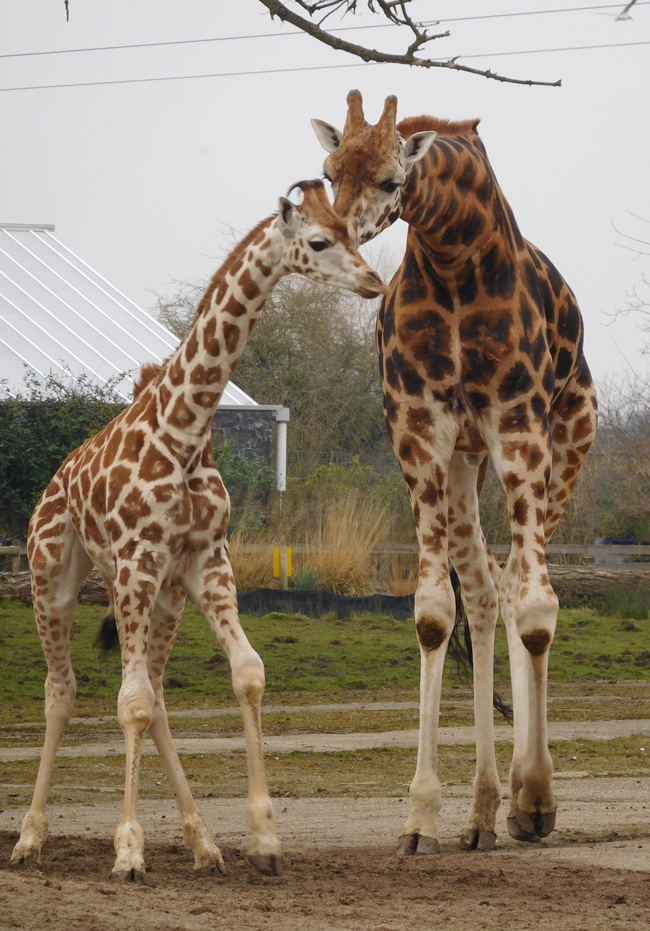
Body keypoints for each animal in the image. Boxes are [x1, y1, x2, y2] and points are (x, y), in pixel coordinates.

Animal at [8, 180, 384, 880]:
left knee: (153, 691)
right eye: (319, 240)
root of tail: (54, 481)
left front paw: (263, 838)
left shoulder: (207, 561)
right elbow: (125, 702)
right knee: (63, 691)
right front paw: (128, 851)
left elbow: (246, 674)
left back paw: (203, 842)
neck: (184, 434)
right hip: (57, 577)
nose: (374, 281)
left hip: (163, 595)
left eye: (353, 231)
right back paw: (29, 837)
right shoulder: (137, 558)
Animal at [312, 93, 596, 852]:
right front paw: (420, 817)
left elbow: (539, 611)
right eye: (328, 172)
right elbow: (436, 613)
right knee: (489, 586)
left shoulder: (519, 424)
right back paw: (481, 813)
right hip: (468, 465)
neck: (454, 258)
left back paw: (522, 799)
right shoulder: (419, 432)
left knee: (526, 589)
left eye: (390, 179)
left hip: (568, 441)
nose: (337, 245)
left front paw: (538, 799)